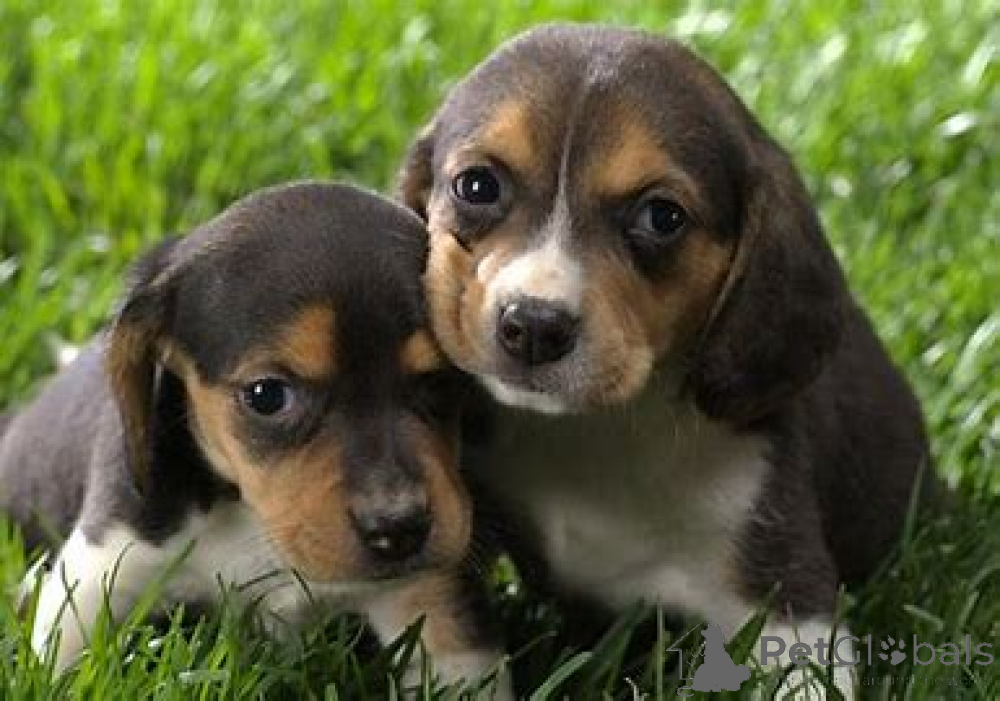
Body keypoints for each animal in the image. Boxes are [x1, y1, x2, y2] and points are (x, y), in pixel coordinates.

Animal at [0, 181, 510, 698]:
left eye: (440, 381)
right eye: (267, 396)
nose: (400, 528)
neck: (249, 514)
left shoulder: (435, 602)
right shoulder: (100, 569)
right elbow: (59, 659)